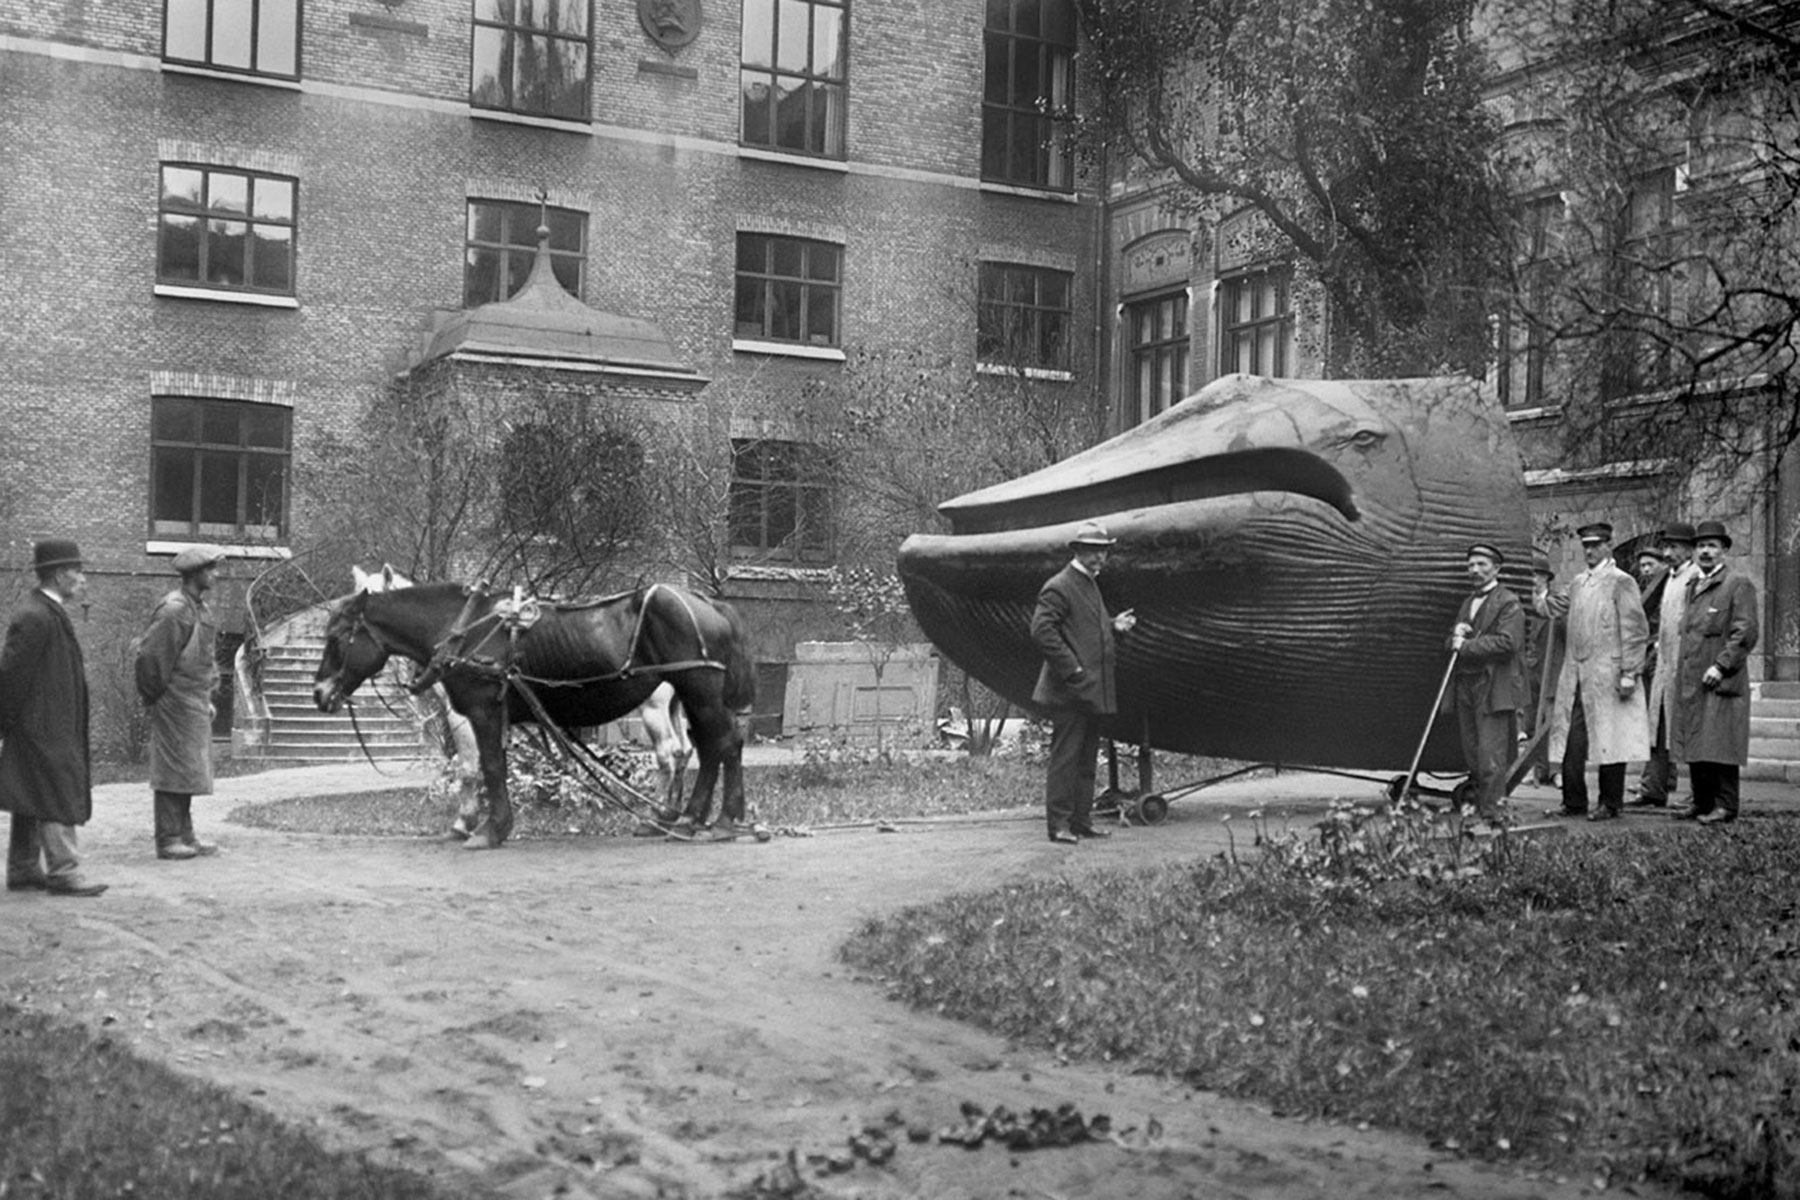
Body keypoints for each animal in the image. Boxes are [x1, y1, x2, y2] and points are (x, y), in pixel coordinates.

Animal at [313, 579, 756, 845]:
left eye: (337, 637)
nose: (319, 693)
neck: (463, 631)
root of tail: (710, 604)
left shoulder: (482, 711)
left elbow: (488, 766)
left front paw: (489, 829)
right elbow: (487, 766)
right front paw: (480, 824)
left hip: (698, 691)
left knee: (720, 743)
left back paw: (714, 821)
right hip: (693, 694)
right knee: (710, 747)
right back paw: (689, 819)